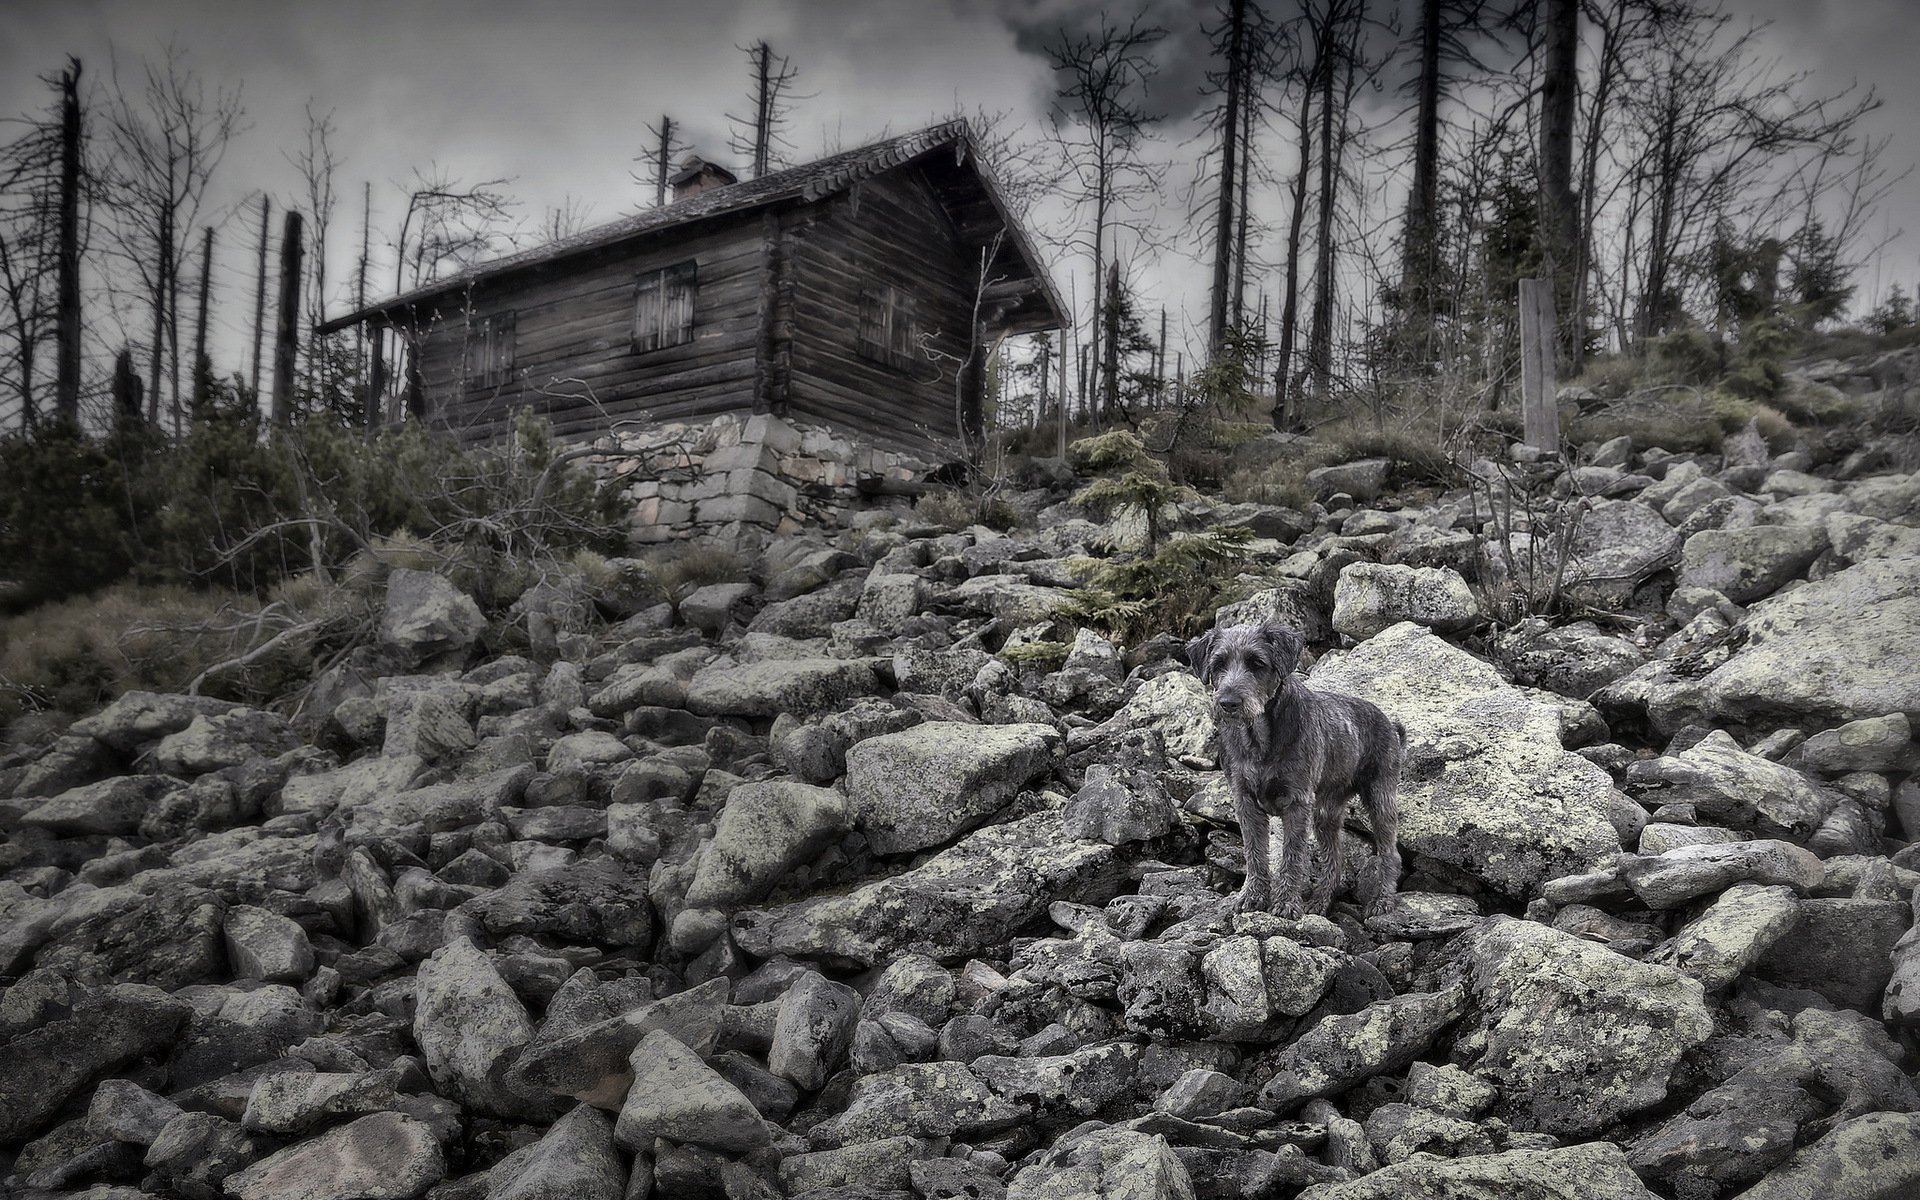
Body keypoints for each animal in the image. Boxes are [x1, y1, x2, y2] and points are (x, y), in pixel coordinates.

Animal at [1182, 622, 1397, 913]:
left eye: (1257, 663)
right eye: (1218, 664)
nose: (1228, 703)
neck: (1259, 738)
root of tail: (1391, 726)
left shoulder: (1297, 802)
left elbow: (1292, 855)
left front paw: (1285, 903)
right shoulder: (1245, 802)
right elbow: (1254, 852)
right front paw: (1253, 896)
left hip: (1380, 799)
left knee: (1389, 852)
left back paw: (1382, 900)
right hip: (1325, 812)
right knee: (1335, 857)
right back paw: (1319, 901)